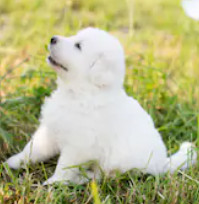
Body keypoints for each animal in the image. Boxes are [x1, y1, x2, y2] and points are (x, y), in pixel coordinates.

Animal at [5, 27, 197, 185]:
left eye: (78, 46)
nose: (52, 38)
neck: (79, 93)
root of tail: (163, 163)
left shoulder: (79, 145)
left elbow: (65, 166)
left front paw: (55, 182)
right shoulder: (49, 130)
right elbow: (33, 149)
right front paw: (14, 161)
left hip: (120, 164)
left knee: (103, 176)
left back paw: (81, 178)